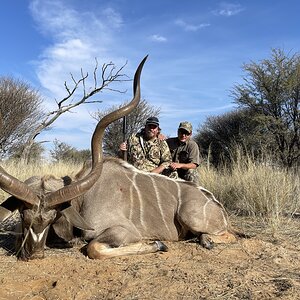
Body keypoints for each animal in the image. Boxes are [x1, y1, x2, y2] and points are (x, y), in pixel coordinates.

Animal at [0, 56, 239, 260]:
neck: (83, 198)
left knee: (230, 235)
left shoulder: (124, 231)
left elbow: (93, 247)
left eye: (52, 218)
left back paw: (207, 240)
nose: (34, 254)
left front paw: (157, 244)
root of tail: (218, 205)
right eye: (23, 215)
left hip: (190, 216)